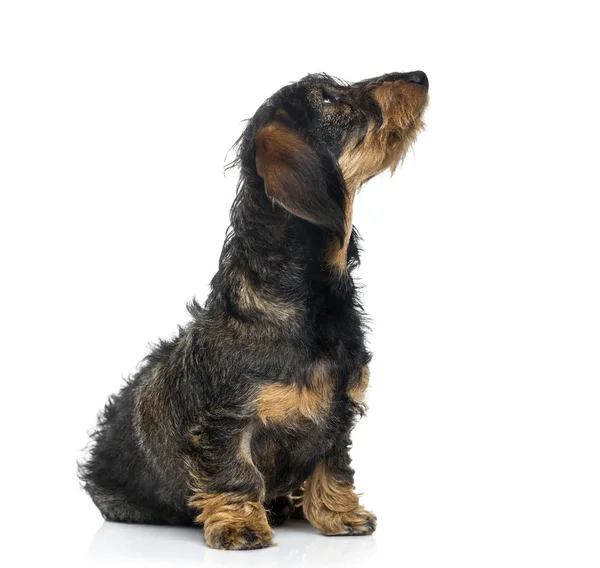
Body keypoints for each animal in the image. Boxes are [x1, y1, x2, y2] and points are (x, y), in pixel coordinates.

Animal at [79, 69, 428, 548]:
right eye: (331, 98)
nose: (420, 76)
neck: (308, 301)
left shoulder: (338, 413)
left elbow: (334, 465)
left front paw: (339, 513)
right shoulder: (225, 421)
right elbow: (236, 472)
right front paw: (241, 525)